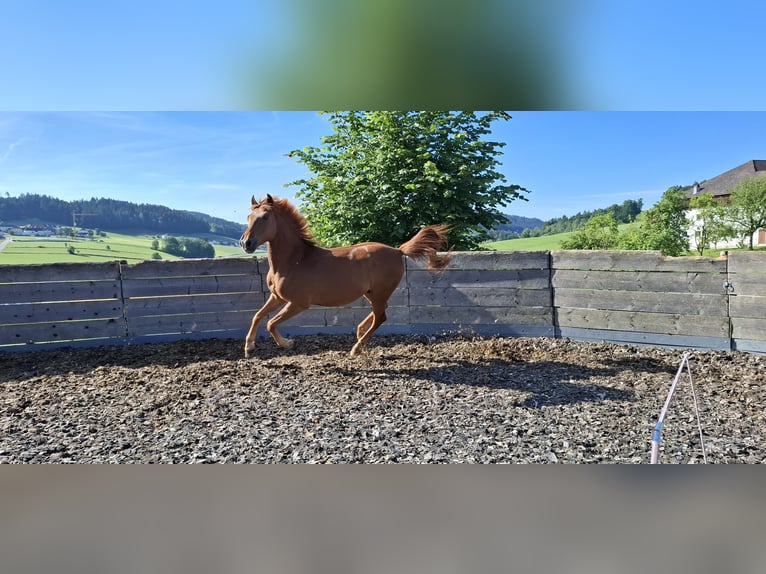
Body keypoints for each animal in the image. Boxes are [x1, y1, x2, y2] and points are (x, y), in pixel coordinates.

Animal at [239, 194, 451, 357]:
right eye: (249, 216)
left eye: (265, 217)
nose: (246, 243)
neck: (294, 261)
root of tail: (397, 251)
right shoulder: (277, 297)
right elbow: (258, 316)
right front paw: (249, 347)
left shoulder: (298, 303)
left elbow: (271, 323)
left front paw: (287, 344)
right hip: (371, 292)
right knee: (379, 312)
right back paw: (359, 332)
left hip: (380, 292)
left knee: (381, 317)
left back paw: (356, 348)